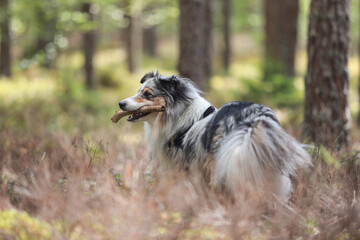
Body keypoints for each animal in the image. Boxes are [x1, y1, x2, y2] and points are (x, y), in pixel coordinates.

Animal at [119, 71, 312, 199]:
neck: (180, 115)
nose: (121, 103)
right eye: (139, 91)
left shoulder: (183, 167)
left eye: (148, 94)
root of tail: (254, 118)